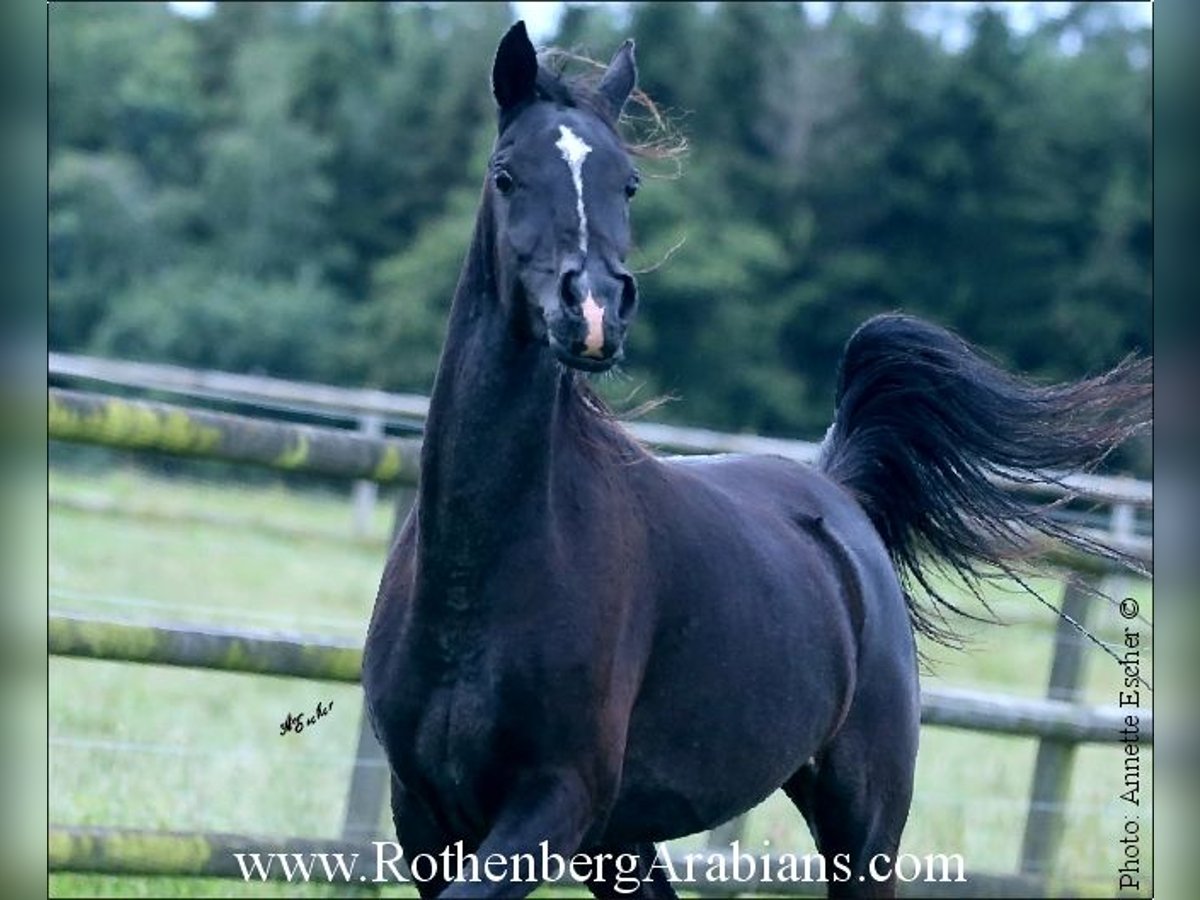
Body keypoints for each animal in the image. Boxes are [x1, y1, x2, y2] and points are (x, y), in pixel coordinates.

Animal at [360, 22, 1147, 900]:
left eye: (628, 183)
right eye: (507, 175)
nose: (592, 312)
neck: (481, 574)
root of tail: (835, 487)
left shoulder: (552, 805)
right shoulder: (427, 818)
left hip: (861, 816)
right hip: (626, 842)